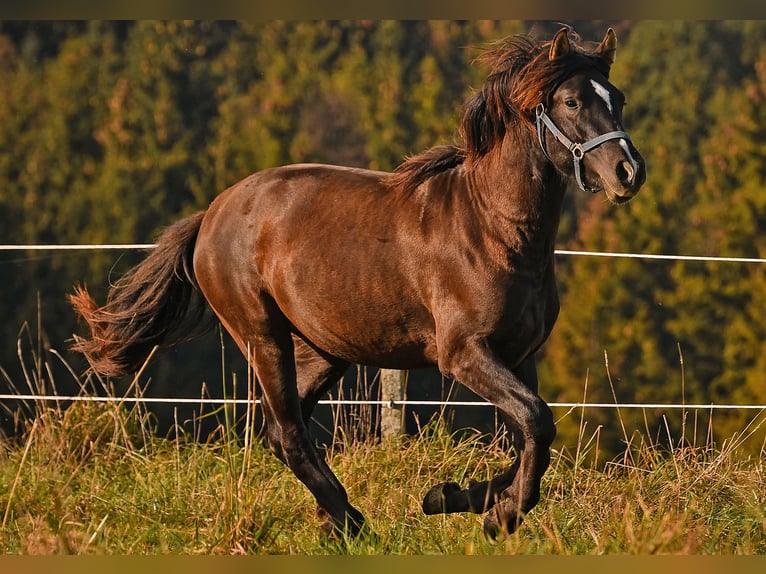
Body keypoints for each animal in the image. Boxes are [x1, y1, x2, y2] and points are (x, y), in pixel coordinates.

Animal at [70, 27, 648, 540]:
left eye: (616, 98)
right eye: (571, 101)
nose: (628, 172)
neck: (493, 228)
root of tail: (212, 214)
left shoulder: (519, 354)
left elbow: (531, 436)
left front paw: (453, 497)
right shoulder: (463, 353)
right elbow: (536, 424)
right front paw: (496, 517)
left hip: (327, 351)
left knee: (285, 430)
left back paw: (336, 520)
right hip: (262, 336)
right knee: (288, 432)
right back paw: (351, 522)